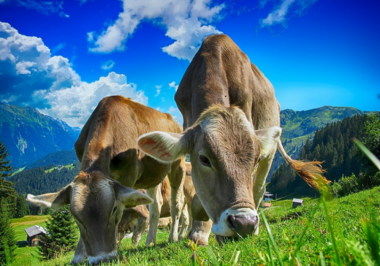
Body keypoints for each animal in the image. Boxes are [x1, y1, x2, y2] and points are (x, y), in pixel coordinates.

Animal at [26, 96, 186, 264]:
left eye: (114, 209)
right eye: (75, 216)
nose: (101, 259)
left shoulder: (128, 176)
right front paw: (78, 256)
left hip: (178, 164)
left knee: (177, 202)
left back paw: (173, 237)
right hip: (152, 175)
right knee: (156, 204)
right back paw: (150, 242)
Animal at [137, 34, 330, 243]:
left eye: (255, 159)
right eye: (204, 159)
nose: (244, 223)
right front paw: (198, 232)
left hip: (270, 152)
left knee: (259, 188)